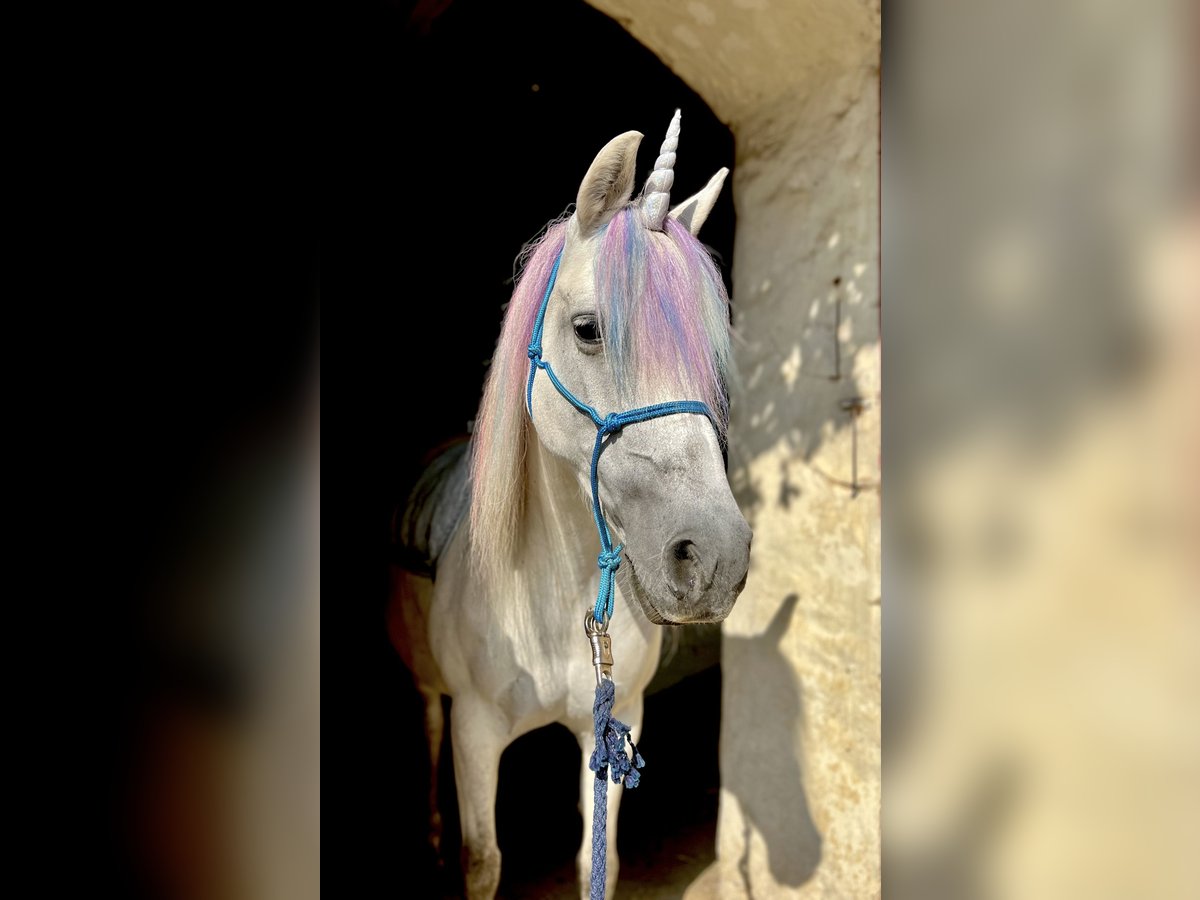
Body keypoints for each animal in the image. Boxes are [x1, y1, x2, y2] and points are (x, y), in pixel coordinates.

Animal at [388, 111, 752, 899]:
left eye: (714, 349)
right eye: (588, 329)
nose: (711, 559)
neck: (550, 598)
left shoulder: (614, 722)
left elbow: (597, 860)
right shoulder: (475, 736)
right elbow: (483, 861)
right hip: (429, 688)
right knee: (425, 723)